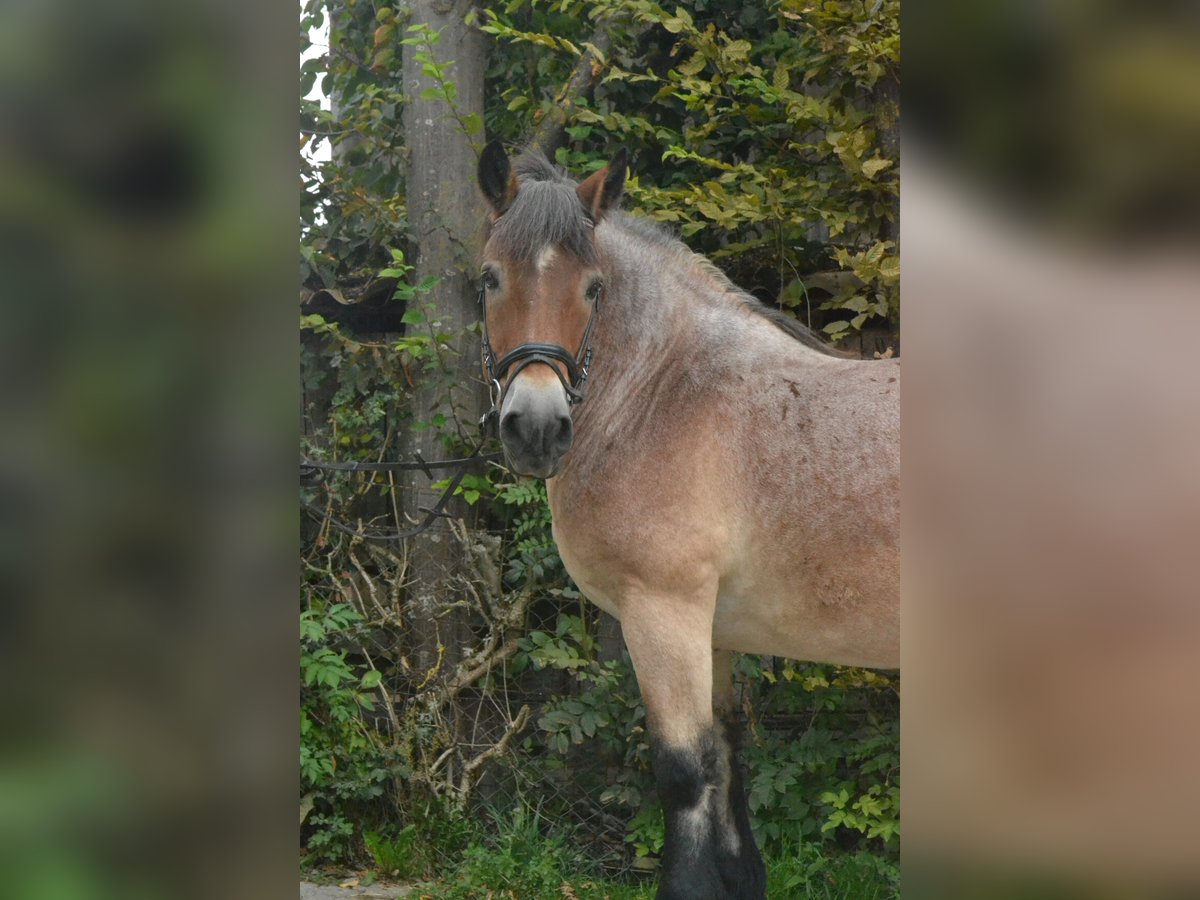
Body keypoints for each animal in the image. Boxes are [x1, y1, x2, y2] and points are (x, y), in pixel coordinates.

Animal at [472, 144, 897, 900]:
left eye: (593, 289)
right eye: (490, 279)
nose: (537, 429)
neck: (666, 395)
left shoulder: (663, 613)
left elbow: (684, 772)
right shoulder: (716, 631)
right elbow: (726, 761)